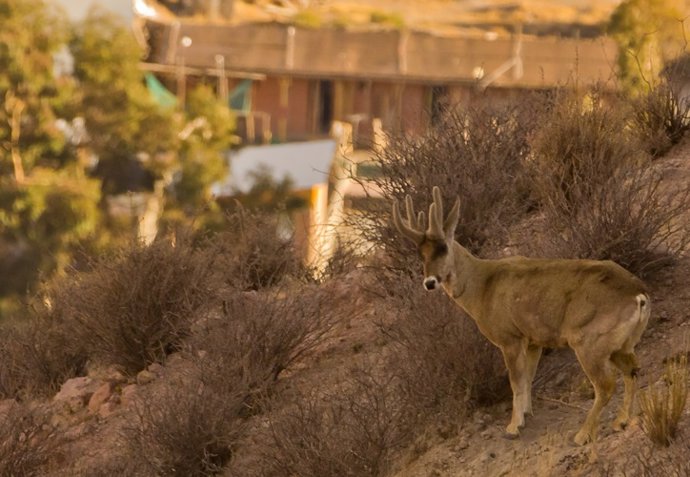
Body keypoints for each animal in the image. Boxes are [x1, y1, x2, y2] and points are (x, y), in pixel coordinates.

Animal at [392, 186, 651, 445]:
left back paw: (582, 434)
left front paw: (513, 426)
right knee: (633, 370)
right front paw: (526, 414)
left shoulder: (509, 337)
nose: (429, 282)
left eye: (443, 247)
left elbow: (516, 381)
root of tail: (639, 295)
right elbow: (528, 378)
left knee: (606, 385)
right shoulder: (533, 340)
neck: (483, 286)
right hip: (621, 344)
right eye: (420, 253)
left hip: (589, 341)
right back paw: (621, 421)